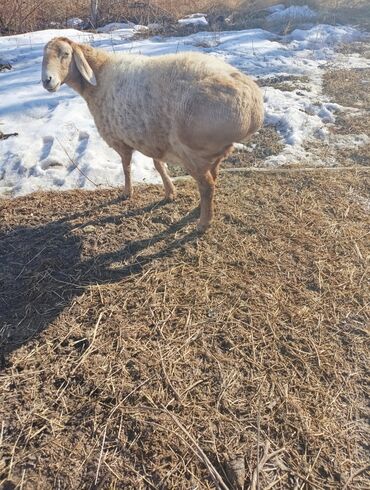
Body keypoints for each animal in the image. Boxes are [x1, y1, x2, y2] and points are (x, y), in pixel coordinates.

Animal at [42, 36, 264, 232]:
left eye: (65, 54)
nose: (47, 80)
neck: (99, 77)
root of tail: (253, 109)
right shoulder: (153, 138)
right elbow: (158, 165)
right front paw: (170, 192)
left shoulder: (120, 140)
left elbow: (126, 168)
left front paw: (127, 192)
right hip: (215, 151)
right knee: (213, 178)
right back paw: (200, 210)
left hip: (192, 151)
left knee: (207, 186)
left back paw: (203, 223)